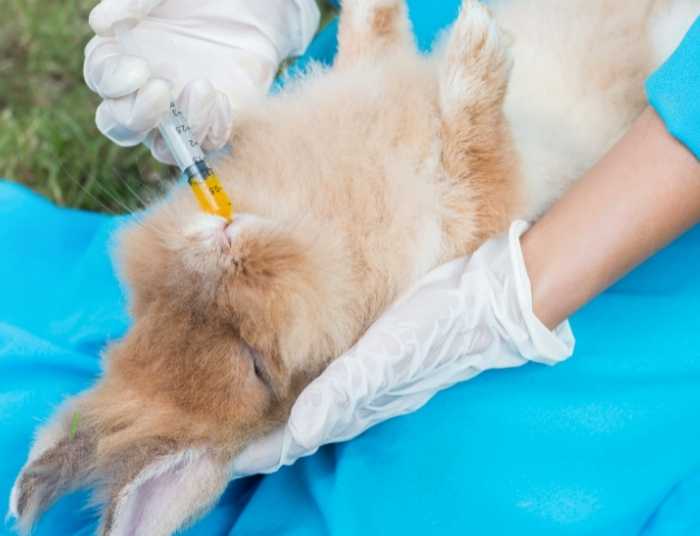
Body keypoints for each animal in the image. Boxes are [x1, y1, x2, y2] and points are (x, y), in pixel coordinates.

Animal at [10, 0, 697, 534]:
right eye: (258, 369)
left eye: (147, 296)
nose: (223, 240)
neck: (311, 226)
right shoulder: (480, 207)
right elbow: (475, 143)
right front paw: (479, 44)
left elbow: (372, 41)